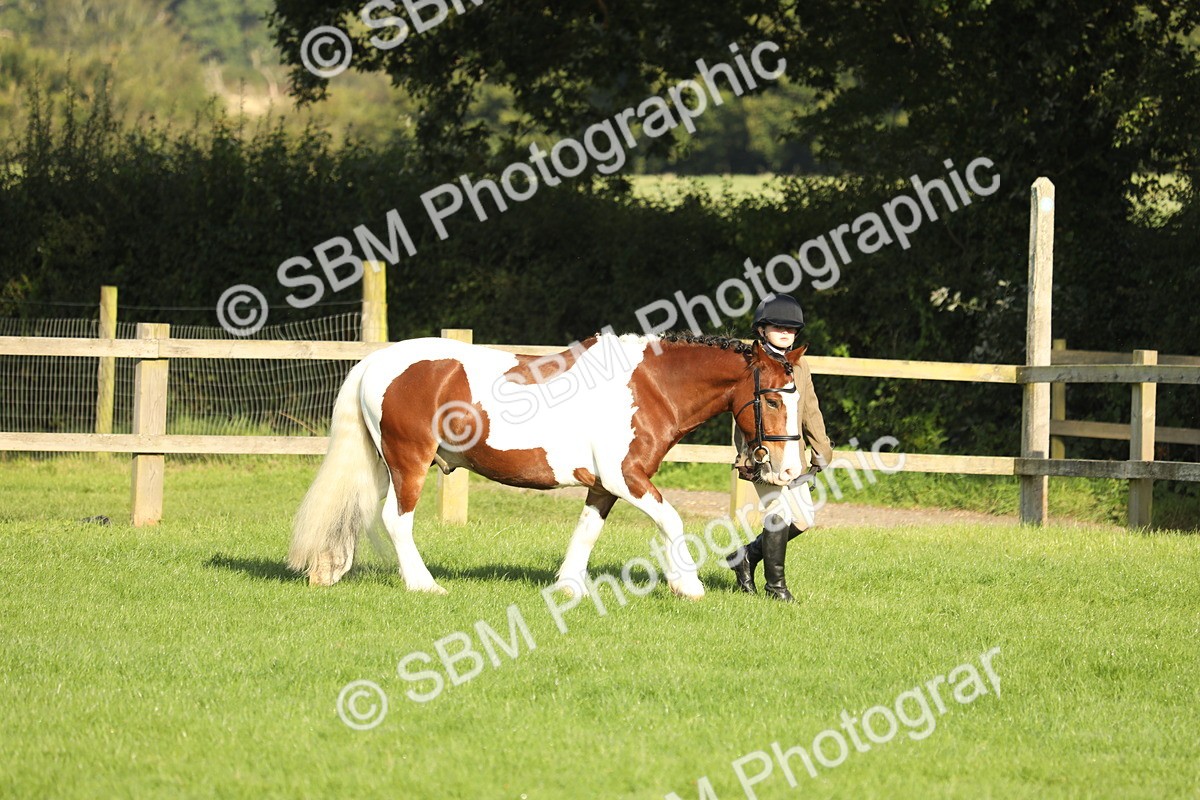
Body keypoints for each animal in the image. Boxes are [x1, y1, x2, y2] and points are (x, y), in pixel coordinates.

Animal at [287, 331, 810, 599]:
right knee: (396, 521)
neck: (649, 385)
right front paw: (688, 585)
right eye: (773, 399)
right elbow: (672, 519)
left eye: (797, 397)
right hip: (408, 462)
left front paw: (568, 586)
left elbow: (587, 530)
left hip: (383, 465)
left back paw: (329, 570)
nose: (785, 472)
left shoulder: (603, 485)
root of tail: (376, 362)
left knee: (357, 508)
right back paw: (424, 585)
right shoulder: (627, 477)